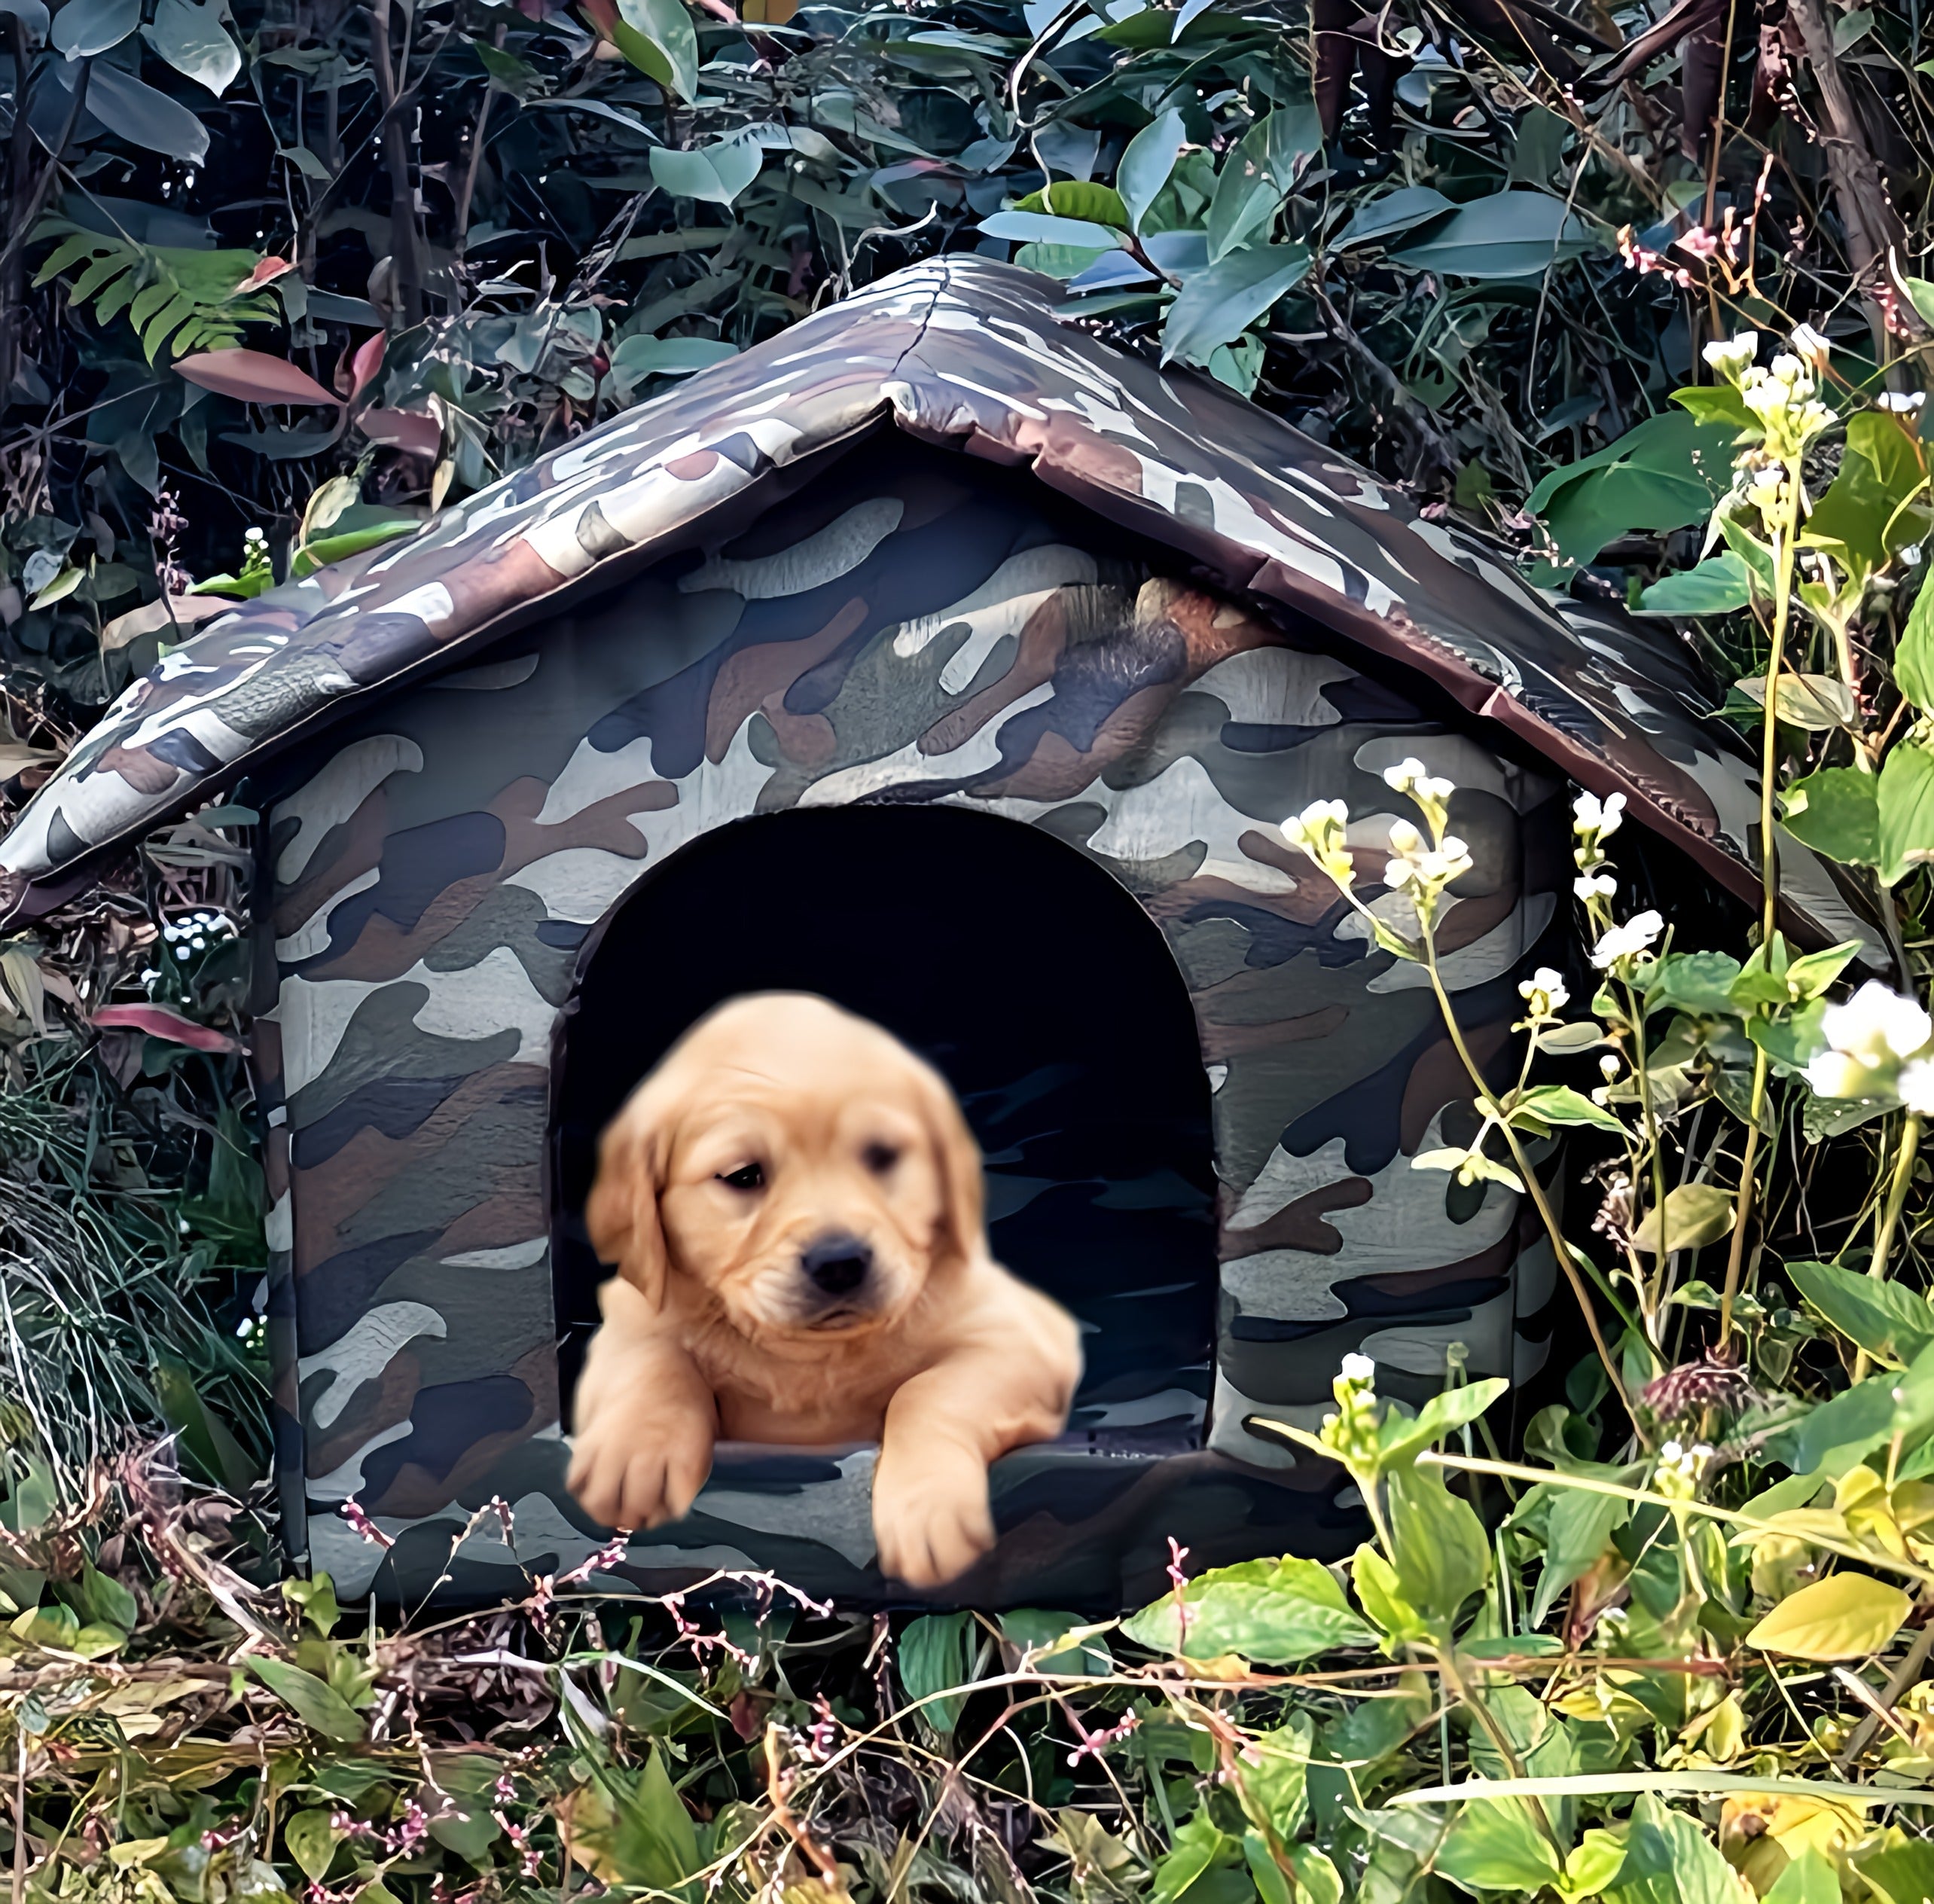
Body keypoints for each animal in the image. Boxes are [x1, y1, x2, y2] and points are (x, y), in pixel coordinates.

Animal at [564, 990, 1098, 1586]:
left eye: (883, 1156)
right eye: (744, 1175)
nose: (840, 1262)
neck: (813, 1356)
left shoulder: (1024, 1336)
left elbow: (925, 1392)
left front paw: (927, 1511)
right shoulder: (633, 1310)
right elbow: (654, 1363)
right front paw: (632, 1455)